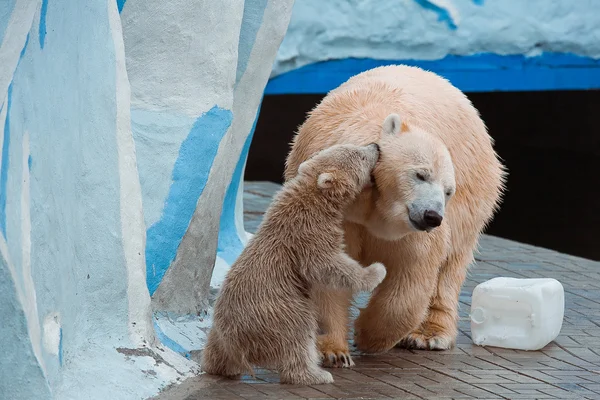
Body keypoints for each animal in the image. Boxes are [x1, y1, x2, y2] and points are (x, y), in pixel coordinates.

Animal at [284, 65, 504, 366]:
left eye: (448, 191)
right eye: (421, 174)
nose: (432, 216)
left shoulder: (409, 228)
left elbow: (413, 270)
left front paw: (367, 335)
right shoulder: (334, 210)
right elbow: (327, 267)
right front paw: (332, 352)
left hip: (473, 199)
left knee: (450, 265)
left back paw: (428, 334)